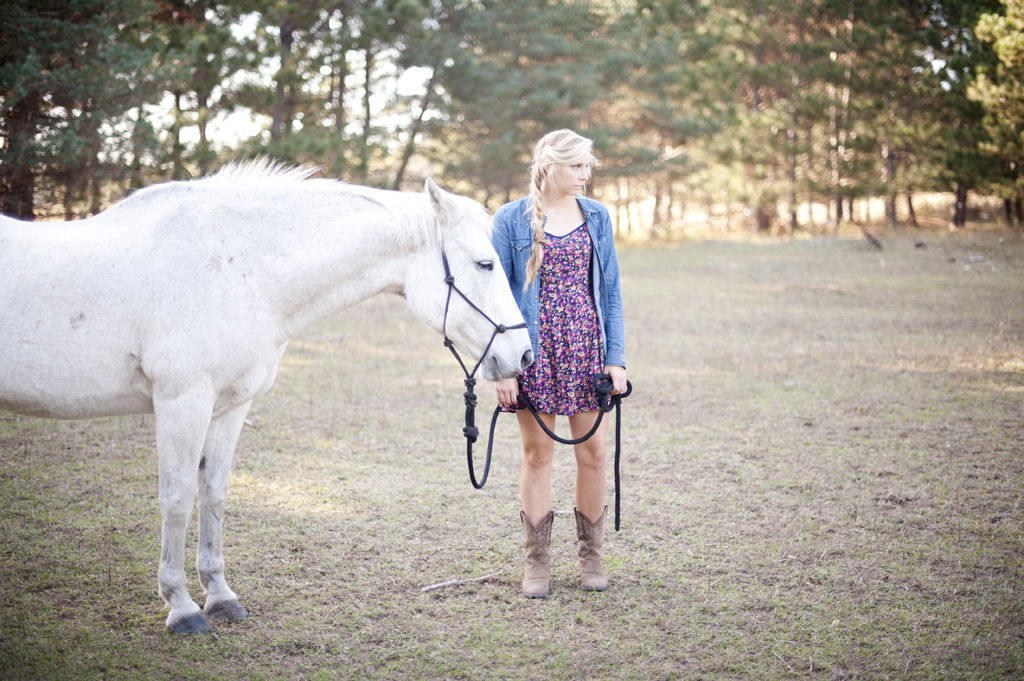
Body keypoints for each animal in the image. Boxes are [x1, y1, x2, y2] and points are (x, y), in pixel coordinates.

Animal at [0, 161, 528, 634]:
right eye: (485, 263)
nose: (524, 354)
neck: (235, 269)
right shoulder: (181, 403)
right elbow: (177, 500)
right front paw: (181, 607)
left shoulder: (230, 407)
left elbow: (213, 494)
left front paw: (220, 598)